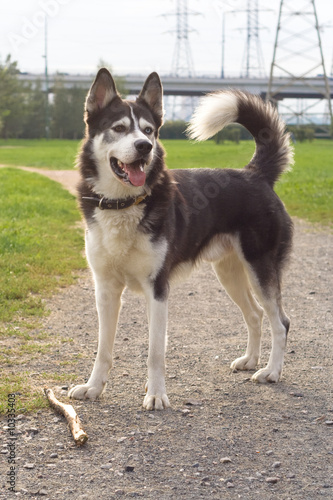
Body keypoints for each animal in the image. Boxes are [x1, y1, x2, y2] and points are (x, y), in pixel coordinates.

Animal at [68, 67, 294, 410]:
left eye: (149, 131)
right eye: (119, 128)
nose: (144, 146)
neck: (125, 203)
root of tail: (255, 174)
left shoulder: (158, 289)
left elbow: (155, 352)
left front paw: (156, 395)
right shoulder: (105, 289)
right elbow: (103, 349)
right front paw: (93, 388)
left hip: (260, 268)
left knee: (280, 322)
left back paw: (271, 371)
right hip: (229, 272)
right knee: (255, 314)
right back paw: (250, 361)